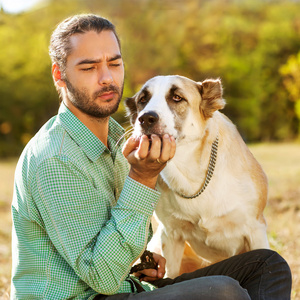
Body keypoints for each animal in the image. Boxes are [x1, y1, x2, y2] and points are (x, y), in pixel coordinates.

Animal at [124, 75, 270, 278]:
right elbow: (170, 275)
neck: (192, 176)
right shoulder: (170, 234)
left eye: (177, 97)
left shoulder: (256, 230)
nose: (145, 118)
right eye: (143, 100)